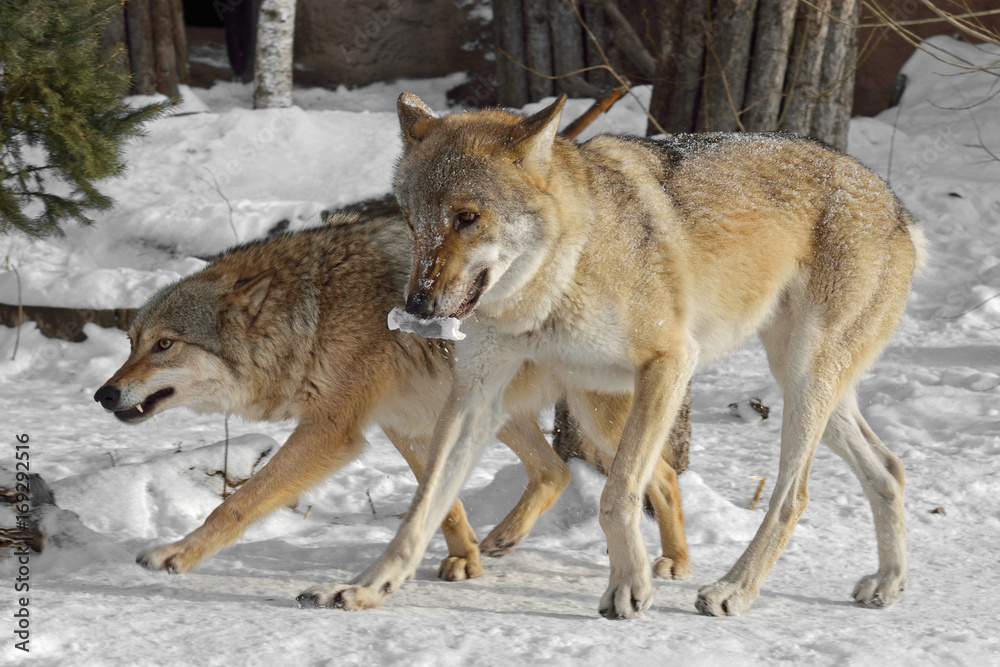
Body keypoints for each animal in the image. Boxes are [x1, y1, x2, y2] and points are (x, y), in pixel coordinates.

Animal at [94, 213, 691, 581]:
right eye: (132, 343)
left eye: (165, 344)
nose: (103, 393)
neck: (312, 314)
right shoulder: (401, 423)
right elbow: (441, 501)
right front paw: (463, 560)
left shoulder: (332, 431)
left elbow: (236, 503)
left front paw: (178, 553)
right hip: (492, 410)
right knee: (555, 471)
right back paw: (501, 540)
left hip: (595, 418)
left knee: (661, 477)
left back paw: (676, 564)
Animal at [296, 93, 926, 619]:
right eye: (411, 221)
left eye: (467, 218)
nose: (418, 307)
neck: (554, 282)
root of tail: (896, 204)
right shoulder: (475, 394)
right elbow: (423, 508)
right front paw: (365, 587)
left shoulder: (670, 363)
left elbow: (616, 493)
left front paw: (628, 586)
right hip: (797, 388)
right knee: (890, 470)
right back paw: (888, 583)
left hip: (798, 382)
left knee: (793, 495)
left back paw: (734, 590)